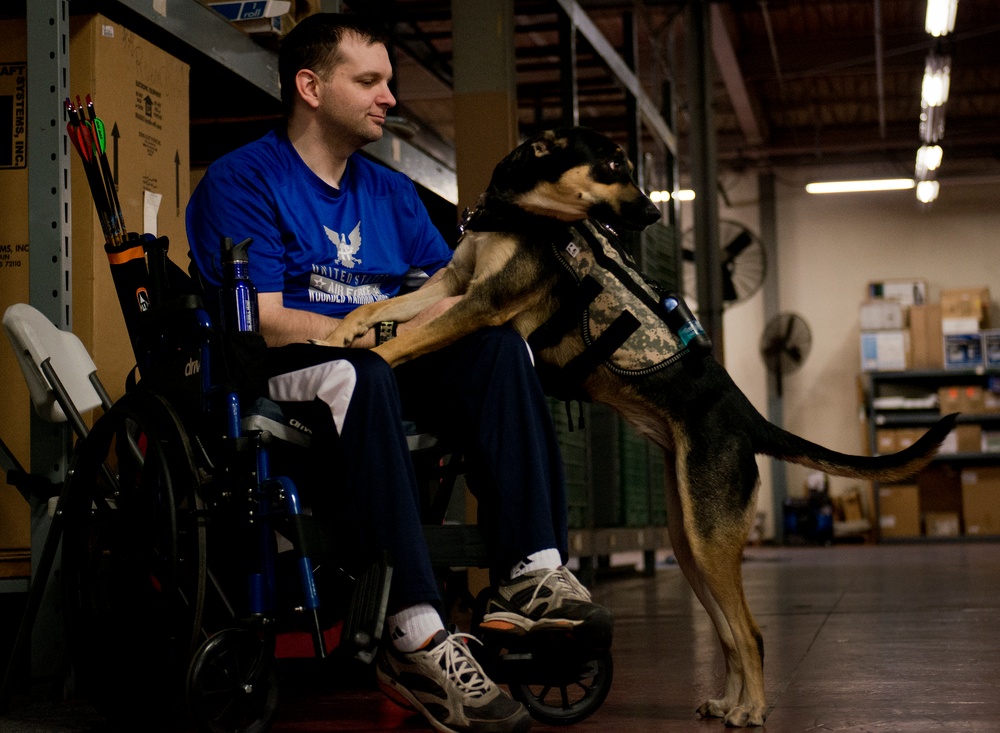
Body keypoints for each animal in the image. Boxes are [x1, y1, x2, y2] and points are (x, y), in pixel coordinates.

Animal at [318, 126, 952, 728]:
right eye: (612, 165)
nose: (652, 212)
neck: (521, 212)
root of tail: (748, 417)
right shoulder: (450, 284)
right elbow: (378, 310)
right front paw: (337, 335)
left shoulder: (483, 305)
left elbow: (407, 340)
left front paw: (363, 359)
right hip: (690, 541)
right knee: (728, 632)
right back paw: (728, 703)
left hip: (710, 540)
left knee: (750, 632)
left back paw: (752, 710)